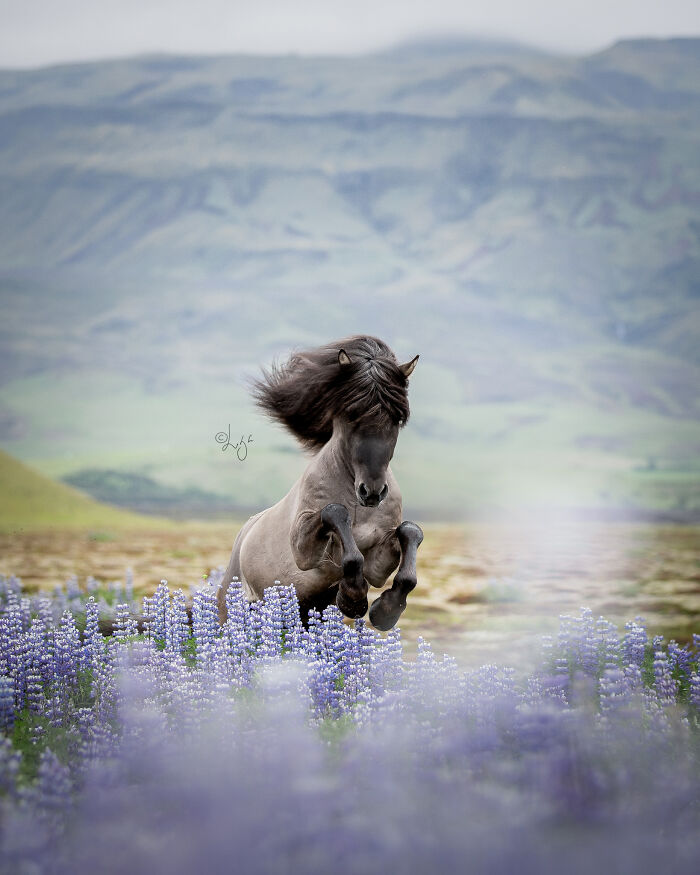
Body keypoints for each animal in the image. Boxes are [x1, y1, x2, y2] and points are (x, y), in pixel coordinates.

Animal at [217, 335, 423, 631]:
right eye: (351, 414)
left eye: (398, 418)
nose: (372, 492)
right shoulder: (304, 551)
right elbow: (335, 515)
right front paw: (353, 598)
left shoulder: (378, 562)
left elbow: (409, 534)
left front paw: (385, 610)